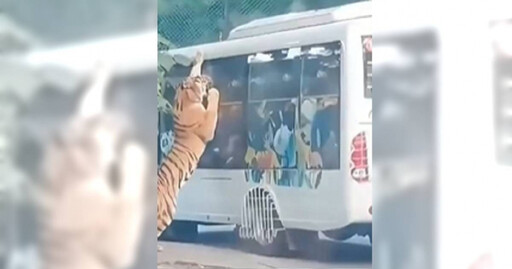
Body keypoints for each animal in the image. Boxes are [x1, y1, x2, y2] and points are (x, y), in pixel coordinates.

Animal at [156, 51, 220, 240]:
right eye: (200, 79)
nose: (209, 79)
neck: (183, 97)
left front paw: (199, 56)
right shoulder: (207, 125)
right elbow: (213, 107)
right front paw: (214, 92)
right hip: (165, 215)